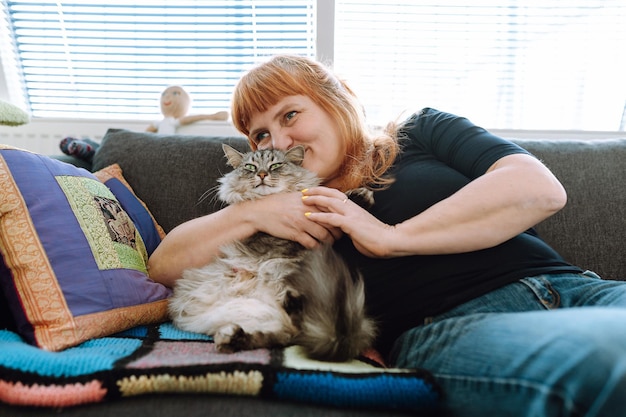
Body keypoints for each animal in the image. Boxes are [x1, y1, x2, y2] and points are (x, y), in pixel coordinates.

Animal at [167, 143, 376, 360]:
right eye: (250, 167)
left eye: (275, 165)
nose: (261, 174)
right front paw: (359, 197)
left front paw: (360, 196)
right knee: (287, 332)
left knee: (289, 332)